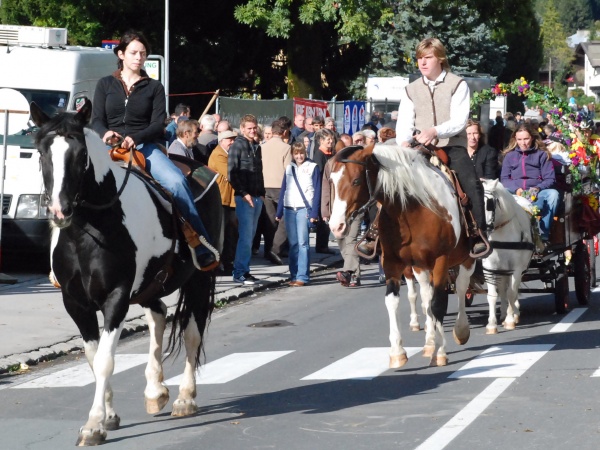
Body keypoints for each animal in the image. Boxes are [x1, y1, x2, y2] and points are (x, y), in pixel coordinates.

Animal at [31, 100, 221, 444]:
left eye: (80, 154)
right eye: (41, 152)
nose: (60, 211)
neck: (86, 232)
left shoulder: (116, 296)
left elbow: (105, 361)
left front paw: (93, 424)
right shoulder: (75, 302)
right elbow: (93, 358)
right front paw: (109, 415)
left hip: (199, 279)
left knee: (191, 332)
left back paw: (185, 398)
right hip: (150, 284)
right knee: (158, 314)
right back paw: (155, 390)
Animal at [326, 144, 476, 366]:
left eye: (356, 181)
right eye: (332, 181)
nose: (336, 227)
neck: (412, 209)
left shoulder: (441, 260)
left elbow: (439, 303)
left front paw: (441, 352)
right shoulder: (392, 262)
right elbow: (394, 301)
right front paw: (397, 352)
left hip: (466, 258)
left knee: (461, 286)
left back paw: (461, 330)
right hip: (420, 265)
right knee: (426, 296)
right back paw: (429, 341)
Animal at [482, 179, 536, 334]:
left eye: (489, 204)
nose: (482, 229)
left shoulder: (516, 269)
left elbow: (512, 292)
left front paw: (510, 320)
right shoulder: (490, 268)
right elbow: (492, 295)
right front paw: (491, 324)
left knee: (512, 289)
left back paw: (514, 313)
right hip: (502, 270)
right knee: (502, 289)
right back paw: (504, 312)